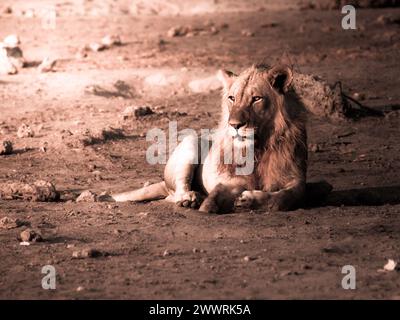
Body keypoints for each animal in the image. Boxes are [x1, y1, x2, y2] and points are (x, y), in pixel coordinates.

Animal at [111, 63, 332, 212]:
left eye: (256, 99)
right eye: (232, 98)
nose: (235, 125)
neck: (259, 148)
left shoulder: (296, 179)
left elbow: (285, 197)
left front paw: (249, 200)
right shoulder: (229, 180)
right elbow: (217, 193)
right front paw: (210, 204)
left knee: (325, 186)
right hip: (191, 143)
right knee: (175, 192)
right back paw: (191, 198)